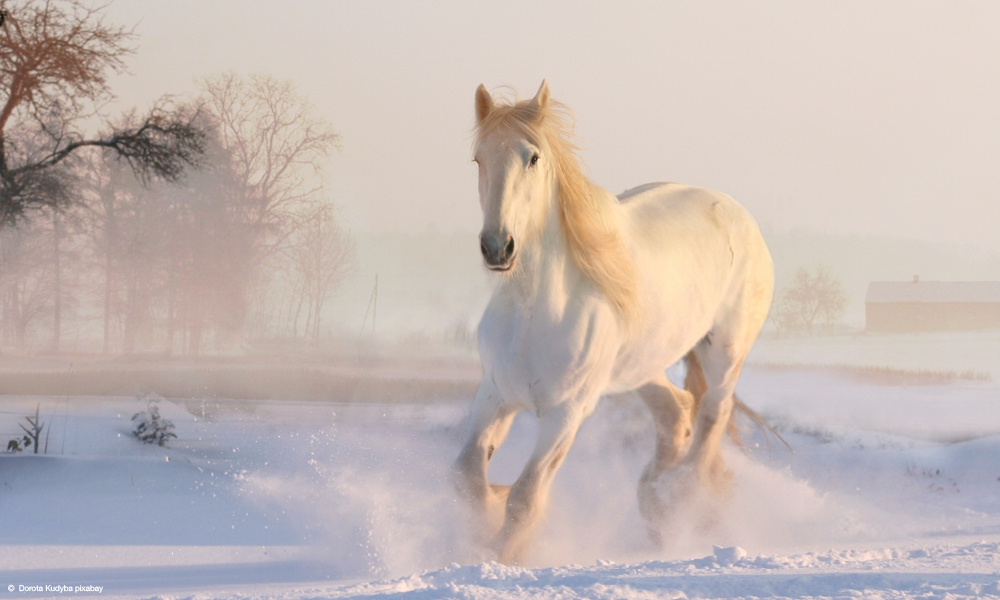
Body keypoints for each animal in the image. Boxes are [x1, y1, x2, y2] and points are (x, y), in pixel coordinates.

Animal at [454, 82, 772, 564]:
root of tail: (739, 214)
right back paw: (656, 503)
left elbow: (525, 497)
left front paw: (503, 554)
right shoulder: (494, 394)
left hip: (725, 352)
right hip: (641, 366)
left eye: (533, 157)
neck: (534, 312)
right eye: (478, 158)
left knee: (712, 415)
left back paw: (682, 500)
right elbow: (468, 478)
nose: (497, 247)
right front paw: (485, 521)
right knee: (676, 411)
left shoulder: (566, 413)